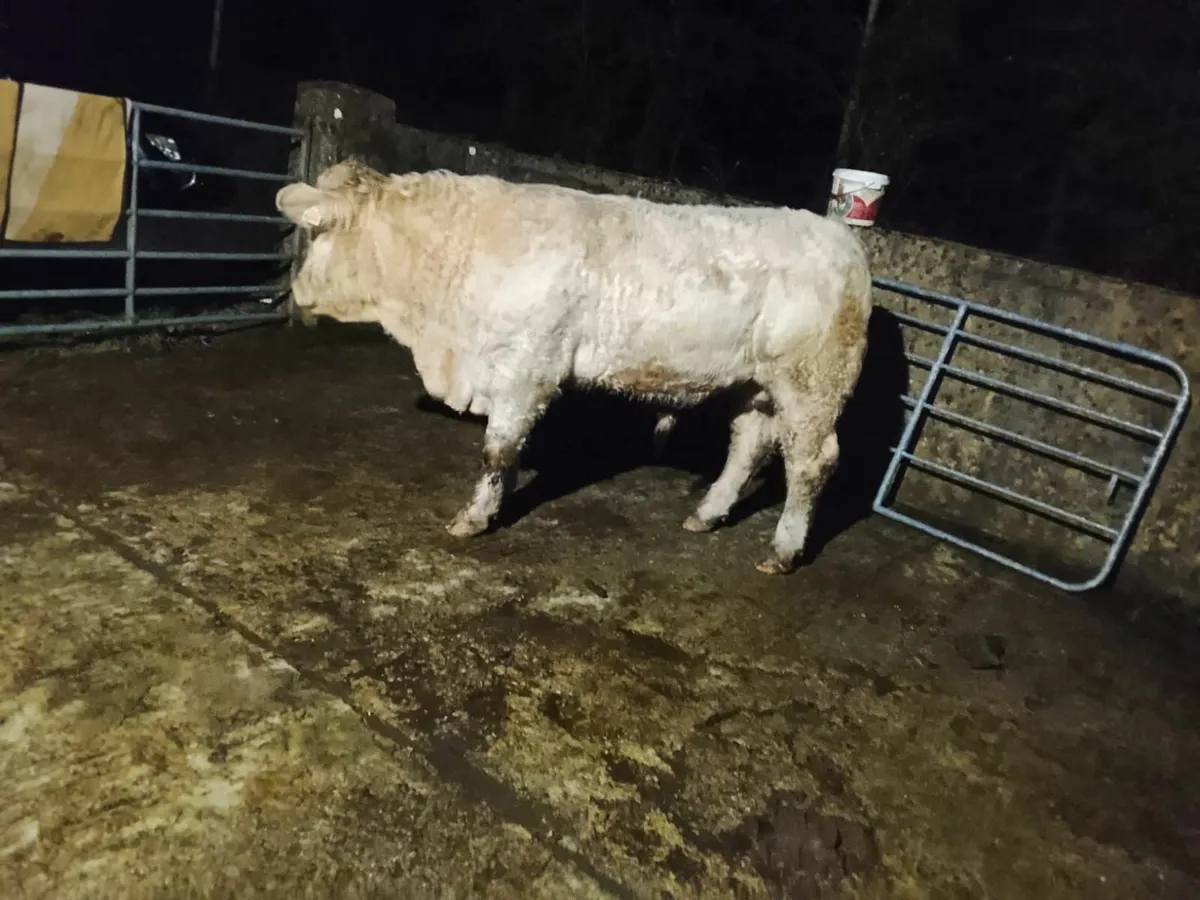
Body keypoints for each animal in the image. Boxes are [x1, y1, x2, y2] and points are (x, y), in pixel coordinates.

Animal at [276, 159, 872, 574]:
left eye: (318, 233)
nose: (296, 289)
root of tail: (842, 242)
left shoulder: (528, 367)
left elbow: (497, 450)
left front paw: (475, 518)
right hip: (756, 383)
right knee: (749, 444)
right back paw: (707, 514)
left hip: (812, 385)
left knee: (811, 463)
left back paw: (784, 550)